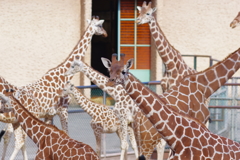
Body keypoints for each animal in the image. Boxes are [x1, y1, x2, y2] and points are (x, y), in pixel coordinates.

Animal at [0, 15, 107, 160]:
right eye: (100, 26)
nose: (106, 34)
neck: (61, 76)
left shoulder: (49, 114)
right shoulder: (63, 110)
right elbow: (66, 133)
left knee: (14, 139)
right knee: (18, 140)